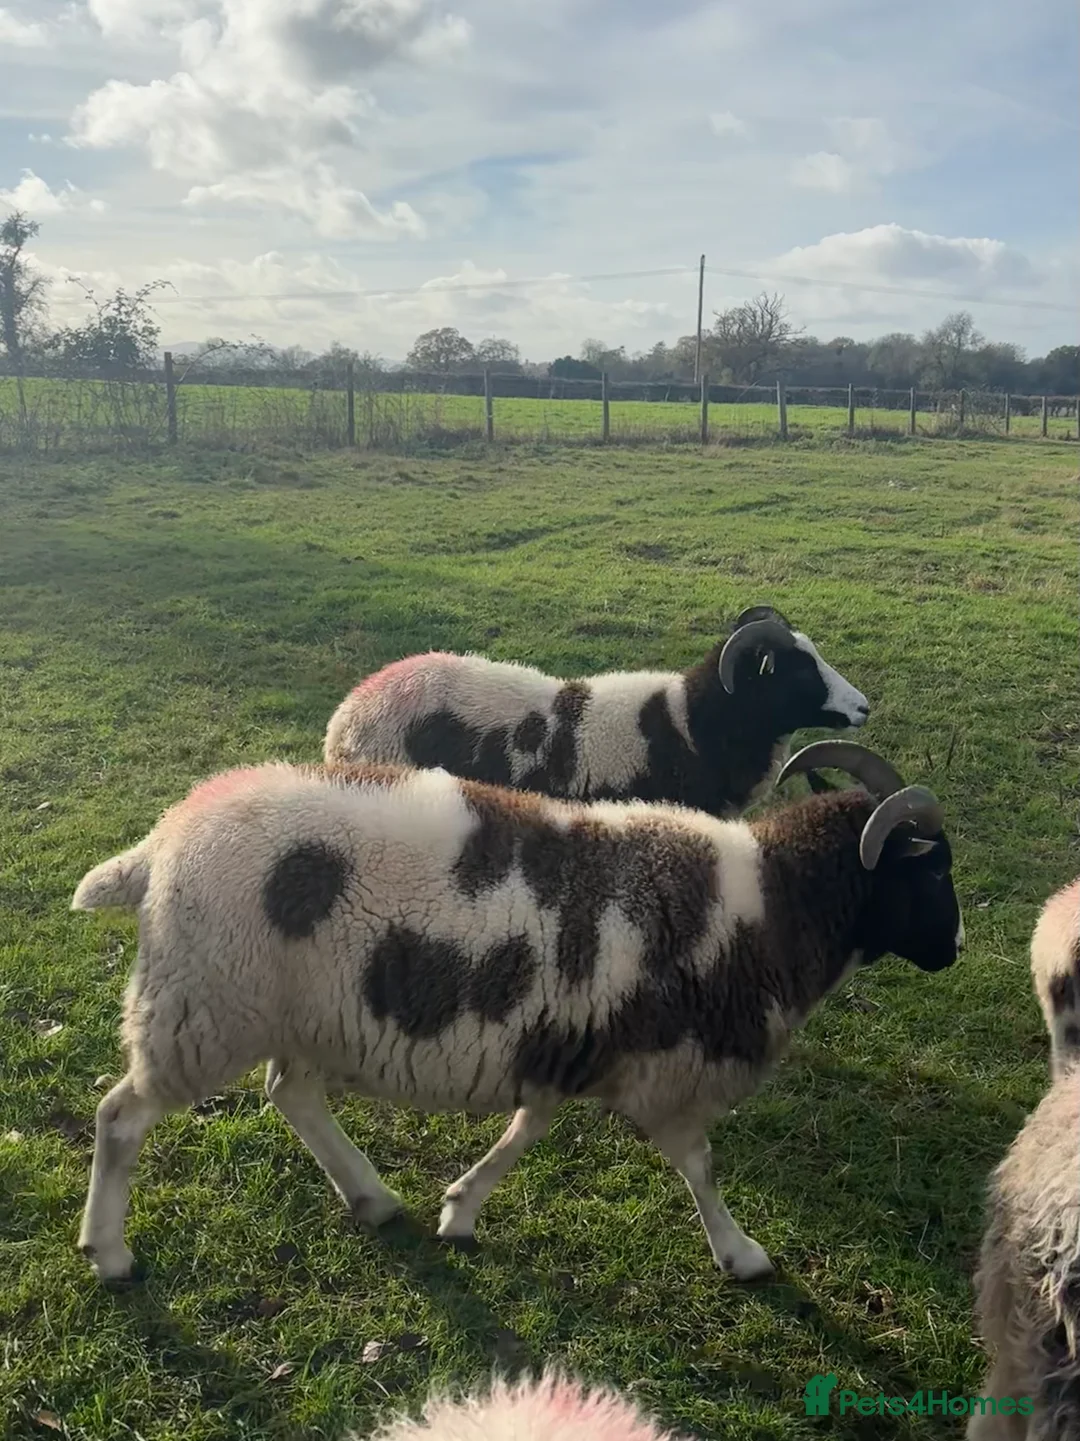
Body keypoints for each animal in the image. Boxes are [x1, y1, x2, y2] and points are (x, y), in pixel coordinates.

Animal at [71, 739, 961, 1287]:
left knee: (291, 1093)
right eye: (931, 868)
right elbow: (700, 1166)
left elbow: (527, 1128)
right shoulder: (668, 1070)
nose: (954, 948)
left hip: (292, 1011)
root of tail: (161, 843)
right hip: (205, 1005)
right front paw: (741, 1254)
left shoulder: (572, 1041)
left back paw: (372, 1197)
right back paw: (109, 1252)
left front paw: (459, 1208)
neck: (774, 908)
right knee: (121, 1115)